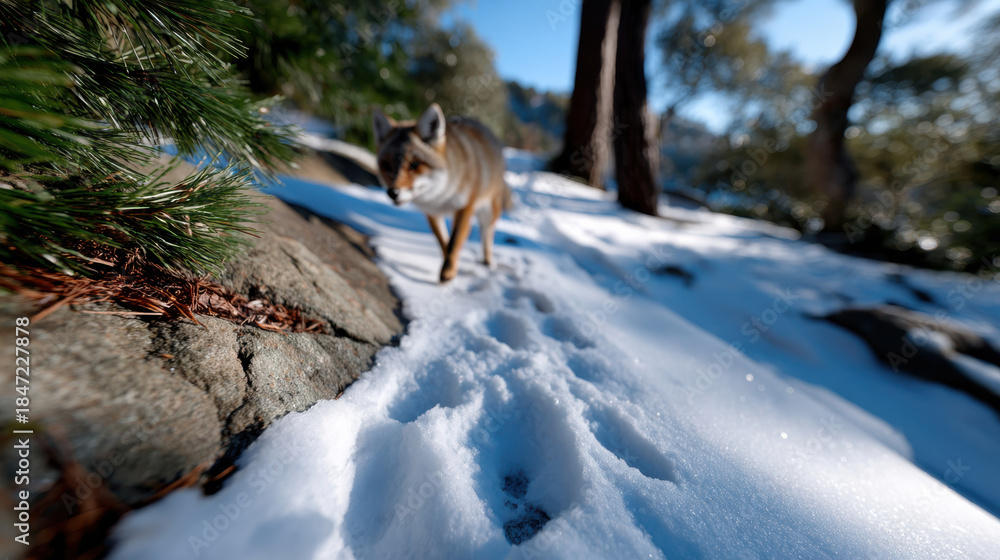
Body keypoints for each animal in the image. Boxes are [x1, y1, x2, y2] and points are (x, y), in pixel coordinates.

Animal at [372, 103, 510, 283]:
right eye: (387, 166)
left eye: (415, 164)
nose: (393, 193)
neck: (441, 195)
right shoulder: (432, 212)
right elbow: (444, 242)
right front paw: (451, 266)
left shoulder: (465, 208)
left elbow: (454, 243)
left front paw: (448, 272)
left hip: (489, 211)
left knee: (488, 233)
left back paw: (488, 260)